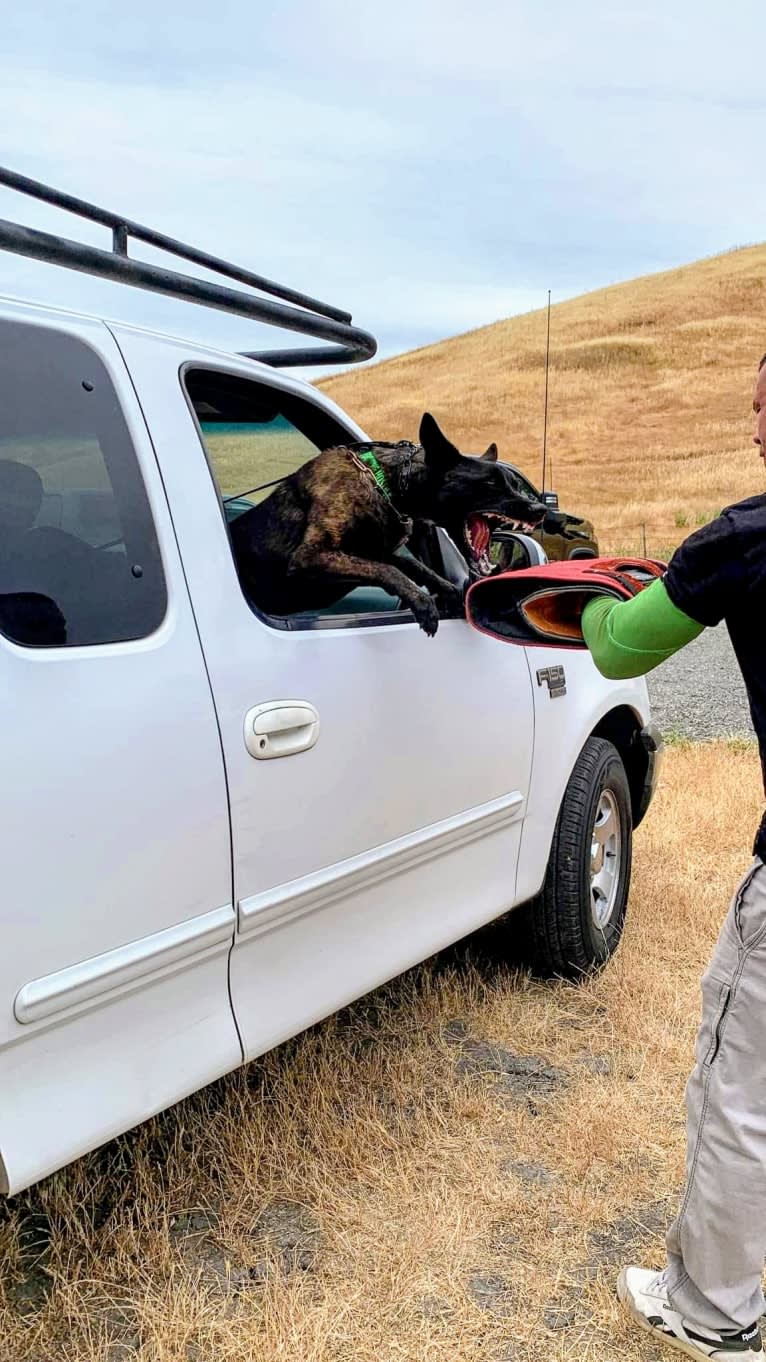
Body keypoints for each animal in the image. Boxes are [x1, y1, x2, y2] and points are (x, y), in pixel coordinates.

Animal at [226, 411, 542, 634]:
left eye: (513, 483)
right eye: (490, 483)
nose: (540, 508)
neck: (387, 484)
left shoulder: (377, 551)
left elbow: (411, 565)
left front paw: (448, 592)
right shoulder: (311, 555)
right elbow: (389, 570)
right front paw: (423, 604)